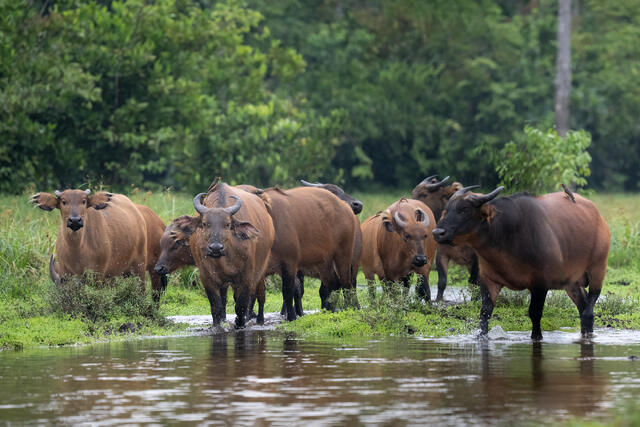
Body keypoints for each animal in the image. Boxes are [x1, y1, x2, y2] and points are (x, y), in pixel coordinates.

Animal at [191, 183, 275, 328]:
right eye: (205, 224)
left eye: (227, 224)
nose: (215, 248)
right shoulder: (206, 277)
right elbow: (216, 305)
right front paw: (217, 325)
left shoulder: (247, 275)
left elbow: (241, 304)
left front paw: (240, 323)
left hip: (261, 271)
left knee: (260, 296)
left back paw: (260, 319)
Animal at [432, 186, 610, 339]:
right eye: (447, 209)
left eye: (463, 210)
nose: (437, 232)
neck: (507, 236)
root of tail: (599, 218)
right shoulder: (489, 280)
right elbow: (485, 312)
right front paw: (481, 335)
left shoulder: (540, 284)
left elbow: (534, 313)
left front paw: (536, 337)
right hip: (571, 283)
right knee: (583, 306)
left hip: (598, 269)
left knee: (589, 308)